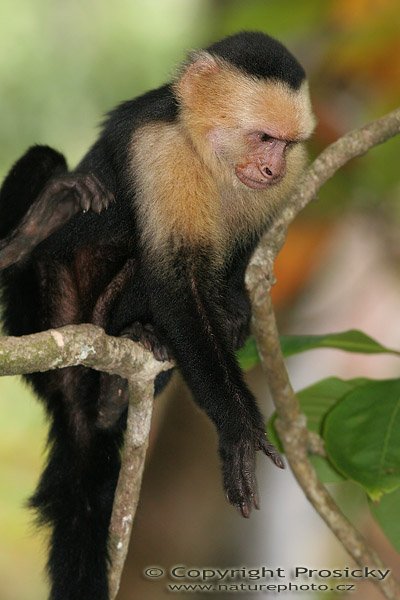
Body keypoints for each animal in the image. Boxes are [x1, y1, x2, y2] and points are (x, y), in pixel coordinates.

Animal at [0, 31, 314, 600]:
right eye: (262, 137)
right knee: (48, 167)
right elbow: (177, 282)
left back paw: (117, 385)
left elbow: (228, 272)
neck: (208, 154)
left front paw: (235, 311)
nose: (272, 168)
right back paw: (26, 238)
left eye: (285, 143)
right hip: (41, 310)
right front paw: (238, 428)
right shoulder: (160, 150)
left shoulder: (288, 177)